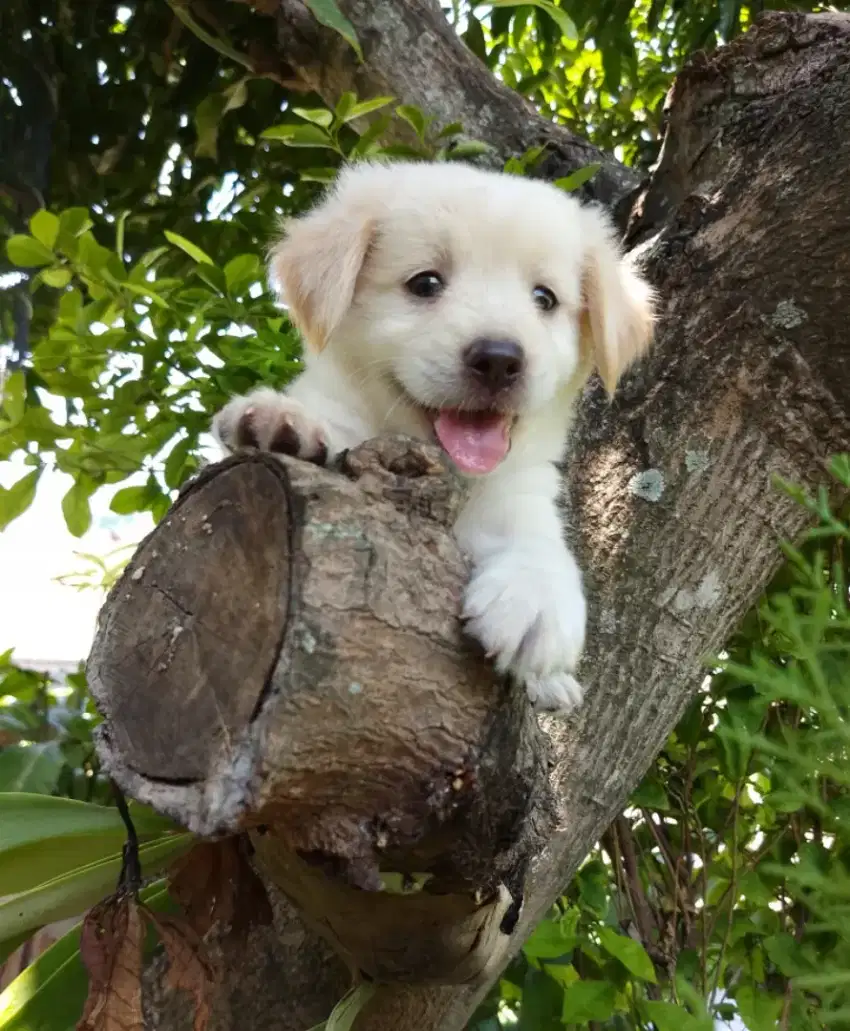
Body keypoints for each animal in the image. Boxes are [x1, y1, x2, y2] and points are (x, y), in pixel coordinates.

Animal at [210, 160, 651, 713]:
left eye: (544, 299)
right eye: (425, 283)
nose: (499, 358)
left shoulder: (519, 492)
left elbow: (539, 542)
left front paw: (536, 598)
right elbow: (326, 416)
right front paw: (281, 420)